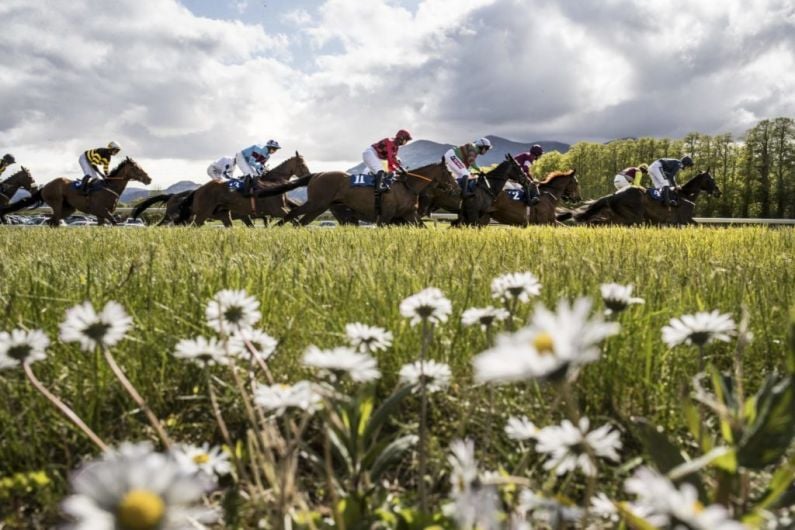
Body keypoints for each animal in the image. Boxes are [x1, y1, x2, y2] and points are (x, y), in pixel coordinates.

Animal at [0, 156, 151, 224]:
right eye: (137, 168)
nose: (149, 179)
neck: (108, 187)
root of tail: (45, 186)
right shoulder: (103, 211)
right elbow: (114, 222)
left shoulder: (101, 215)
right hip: (57, 203)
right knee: (53, 221)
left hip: (68, 208)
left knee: (52, 221)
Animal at [280, 161, 454, 227]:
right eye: (449, 172)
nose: (455, 187)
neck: (407, 184)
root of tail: (317, 174)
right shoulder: (386, 215)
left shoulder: (409, 214)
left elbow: (423, 227)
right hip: (316, 203)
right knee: (294, 213)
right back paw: (277, 227)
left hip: (321, 207)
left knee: (302, 222)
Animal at [572, 169, 720, 225]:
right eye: (711, 179)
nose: (718, 191)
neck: (684, 195)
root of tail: (614, 195)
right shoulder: (683, 220)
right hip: (633, 217)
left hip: (622, 217)